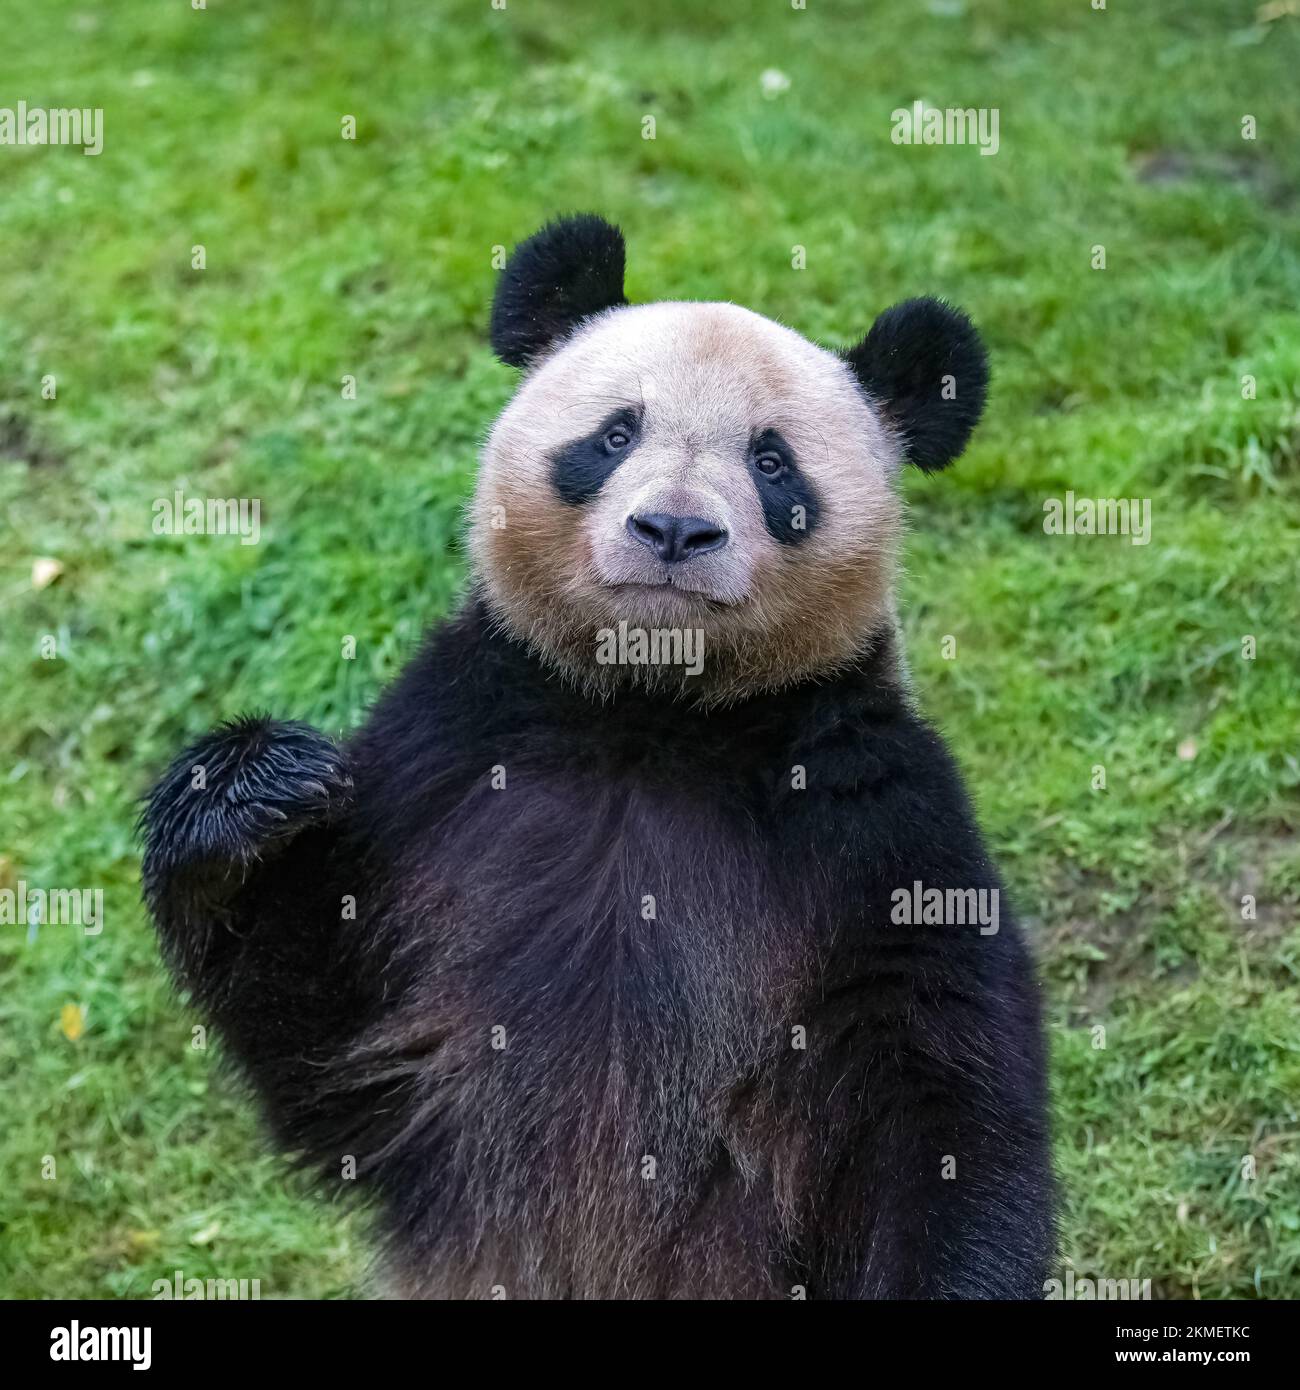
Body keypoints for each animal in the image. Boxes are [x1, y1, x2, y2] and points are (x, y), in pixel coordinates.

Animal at [142, 214, 1055, 1300]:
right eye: (615, 434)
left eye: (773, 464)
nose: (675, 528)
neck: (649, 713)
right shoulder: (441, 758)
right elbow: (328, 1047)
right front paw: (253, 796)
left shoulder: (871, 810)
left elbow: (940, 1097)